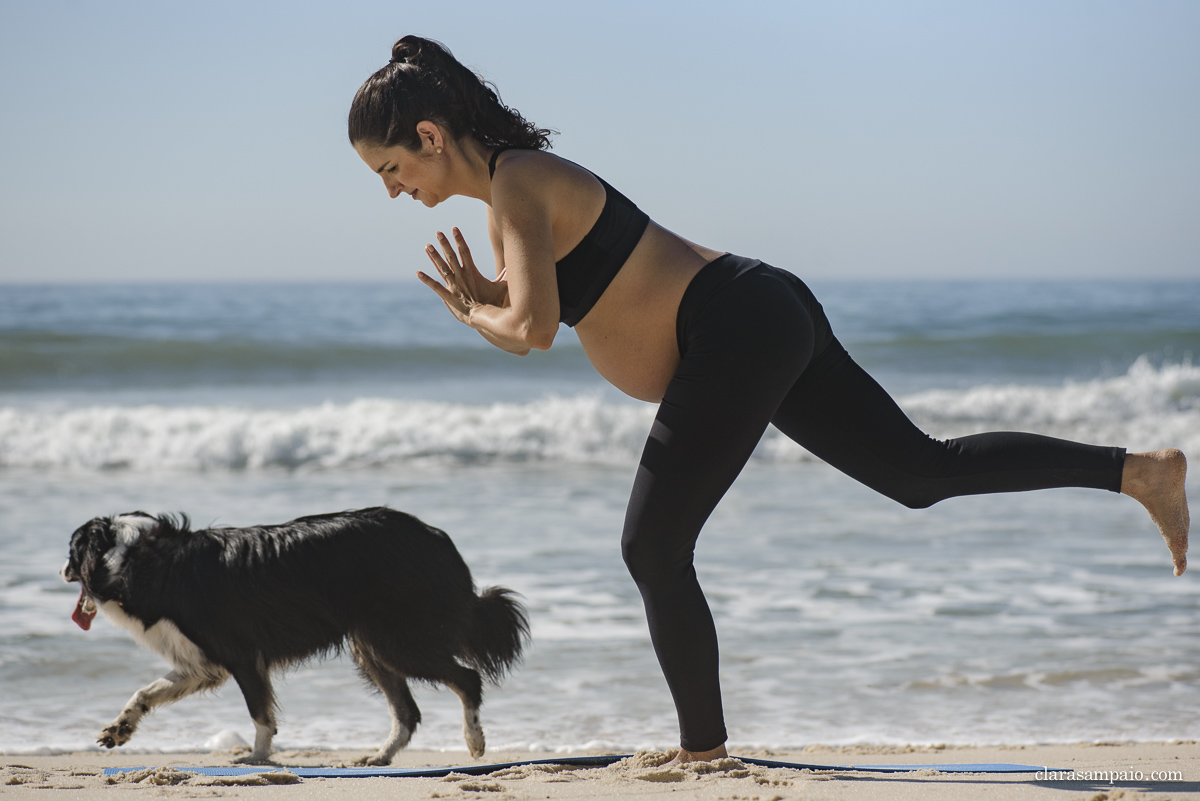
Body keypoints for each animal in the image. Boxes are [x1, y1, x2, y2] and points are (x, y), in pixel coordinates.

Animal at [62, 506, 525, 762]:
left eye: (71, 550)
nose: (62, 570)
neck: (132, 557)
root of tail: (435, 536)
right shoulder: (204, 664)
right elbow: (145, 692)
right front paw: (118, 729)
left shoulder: (242, 656)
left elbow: (260, 714)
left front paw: (256, 759)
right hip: (371, 646)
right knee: (407, 712)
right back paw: (380, 756)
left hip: (397, 639)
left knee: (467, 679)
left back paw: (474, 741)